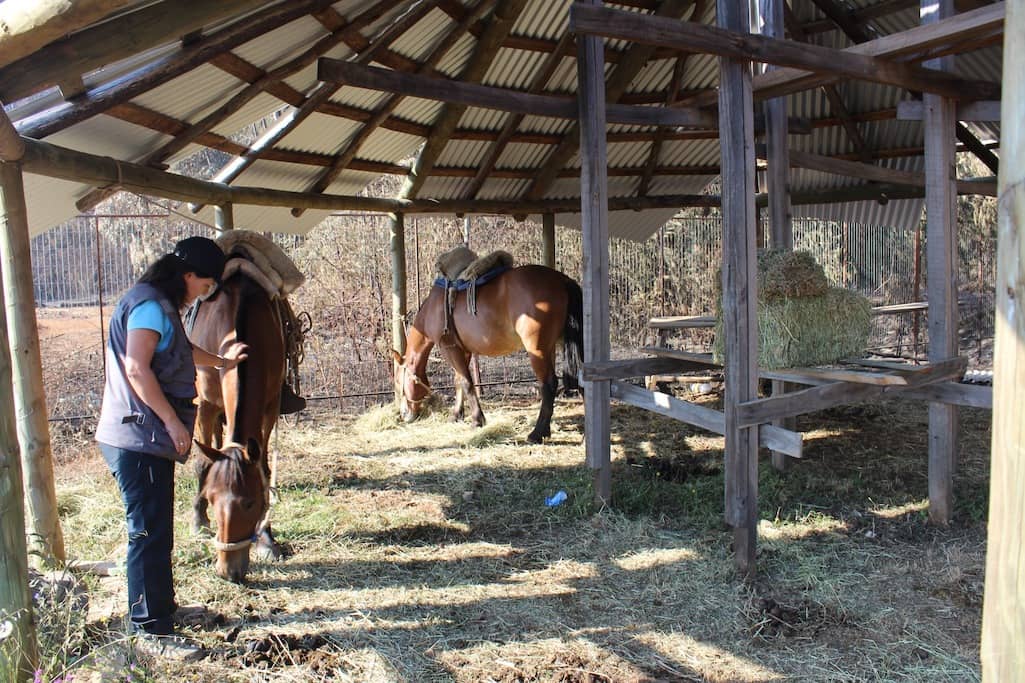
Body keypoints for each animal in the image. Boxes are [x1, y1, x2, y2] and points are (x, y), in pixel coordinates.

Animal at [186, 270, 284, 578]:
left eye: (250, 502)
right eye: (213, 498)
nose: (228, 571)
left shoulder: (270, 407)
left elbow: (264, 466)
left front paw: (266, 539)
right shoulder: (205, 405)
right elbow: (202, 463)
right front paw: (198, 519)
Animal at [393, 262, 586, 445]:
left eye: (398, 383)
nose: (404, 415)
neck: (434, 308)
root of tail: (561, 280)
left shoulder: (449, 348)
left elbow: (467, 383)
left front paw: (477, 420)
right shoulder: (463, 352)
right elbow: (458, 381)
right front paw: (456, 415)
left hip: (537, 349)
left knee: (548, 385)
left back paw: (537, 434)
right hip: (555, 345)